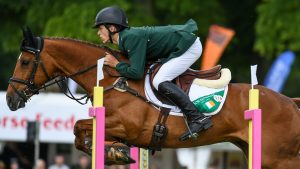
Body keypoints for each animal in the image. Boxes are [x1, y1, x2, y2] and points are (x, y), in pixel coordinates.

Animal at [5, 28, 300, 168]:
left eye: (26, 61)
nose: (10, 100)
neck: (114, 80)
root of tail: (289, 102)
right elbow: (80, 133)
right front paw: (116, 152)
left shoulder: (128, 126)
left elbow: (79, 127)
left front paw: (114, 152)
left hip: (276, 157)